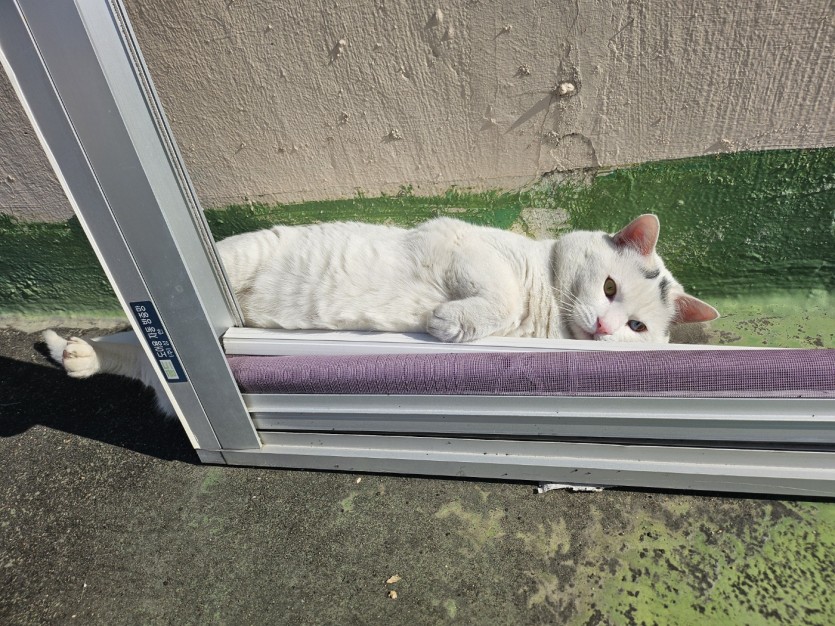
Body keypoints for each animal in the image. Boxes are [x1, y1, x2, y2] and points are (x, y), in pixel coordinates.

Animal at [43, 214, 718, 417]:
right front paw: (446, 321)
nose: (605, 328)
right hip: (238, 262)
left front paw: (453, 323)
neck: (546, 315)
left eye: (637, 329)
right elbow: (494, 293)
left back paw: (75, 354)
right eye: (608, 286)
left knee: (136, 356)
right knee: (134, 326)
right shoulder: (461, 245)